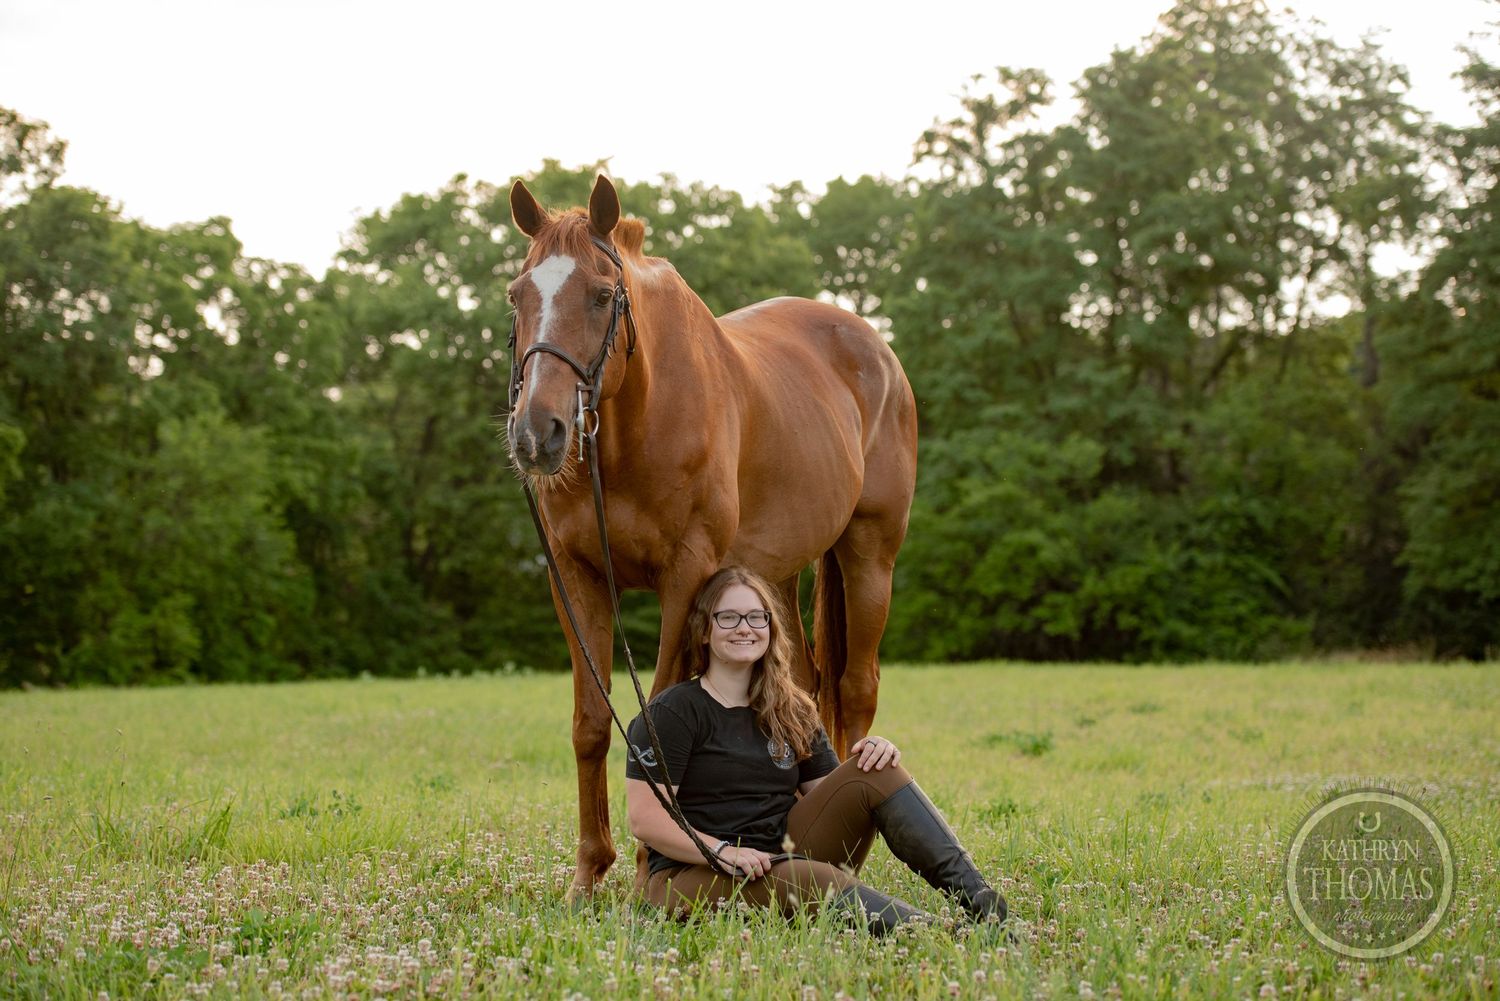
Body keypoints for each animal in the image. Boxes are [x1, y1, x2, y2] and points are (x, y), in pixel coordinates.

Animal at [504, 175, 917, 899]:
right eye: (517, 295)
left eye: (602, 295)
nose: (537, 433)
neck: (639, 421)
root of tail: (875, 347)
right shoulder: (576, 576)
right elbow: (592, 722)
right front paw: (589, 875)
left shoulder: (687, 574)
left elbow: (658, 716)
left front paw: (651, 865)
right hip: (776, 574)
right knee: (805, 687)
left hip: (871, 554)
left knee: (857, 686)